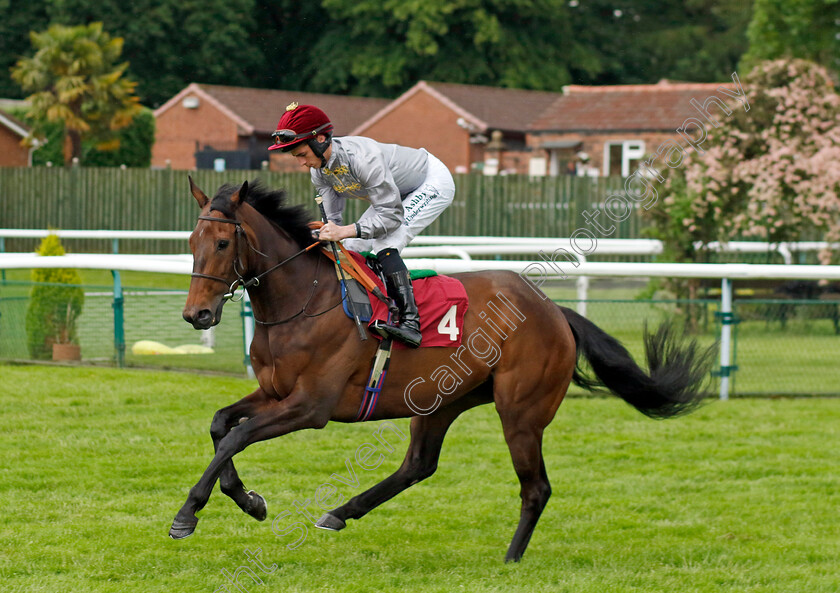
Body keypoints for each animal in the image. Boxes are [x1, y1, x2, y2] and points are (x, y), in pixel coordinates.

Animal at [172, 178, 716, 560]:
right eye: (193, 239)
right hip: (440, 399)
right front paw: (248, 499)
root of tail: (554, 310)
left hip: (521, 411)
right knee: (419, 464)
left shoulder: (311, 406)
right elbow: (221, 425)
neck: (303, 300)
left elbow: (238, 436)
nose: (197, 315)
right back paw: (340, 512)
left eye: (222, 244)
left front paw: (188, 513)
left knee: (535, 487)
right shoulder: (273, 392)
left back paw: (511, 558)